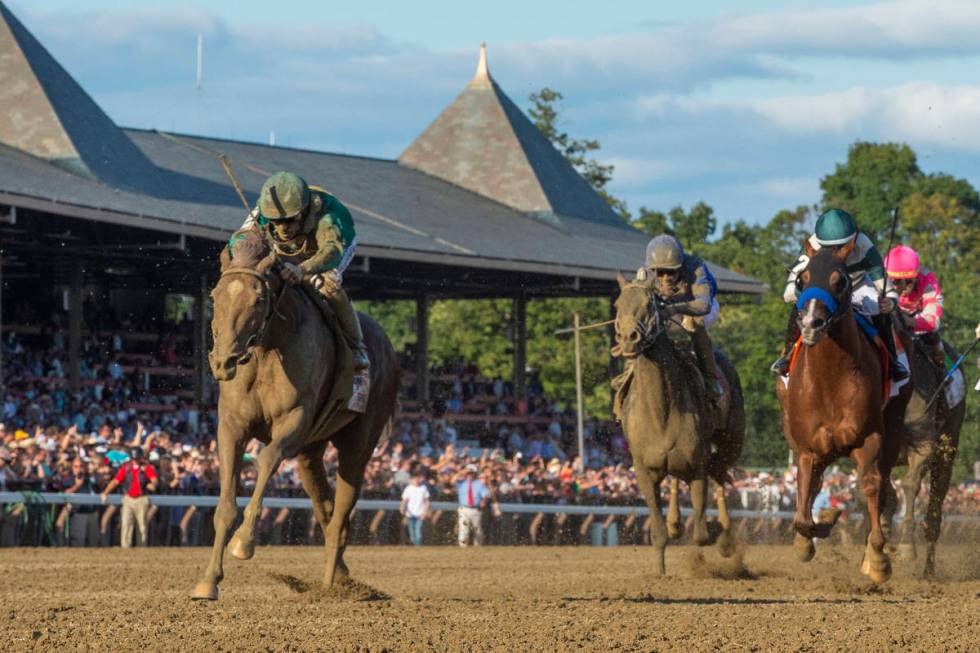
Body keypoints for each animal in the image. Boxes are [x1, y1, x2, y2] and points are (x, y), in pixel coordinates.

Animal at [191, 234, 398, 600]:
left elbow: (266, 458)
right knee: (325, 507)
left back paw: (331, 585)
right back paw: (340, 574)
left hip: (360, 440)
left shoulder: (296, 421)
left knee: (342, 510)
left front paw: (244, 542)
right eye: (215, 295)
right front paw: (209, 581)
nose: (222, 360)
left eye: (259, 298)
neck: (267, 349)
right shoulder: (231, 426)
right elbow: (225, 503)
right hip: (311, 452)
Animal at [612, 272, 744, 572]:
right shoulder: (644, 469)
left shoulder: (698, 465)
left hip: (732, 441)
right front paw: (661, 571)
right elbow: (659, 533)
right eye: (617, 304)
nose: (628, 338)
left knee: (720, 473)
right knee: (681, 479)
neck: (660, 411)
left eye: (648, 304)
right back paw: (676, 522)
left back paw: (726, 535)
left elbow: (701, 535)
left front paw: (719, 535)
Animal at [776, 238, 916, 580]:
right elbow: (804, 503)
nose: (810, 324)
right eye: (801, 281)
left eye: (839, 281)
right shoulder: (808, 448)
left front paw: (877, 558)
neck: (830, 380)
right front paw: (815, 530)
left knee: (885, 488)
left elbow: (871, 487)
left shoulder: (869, 439)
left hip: (893, 425)